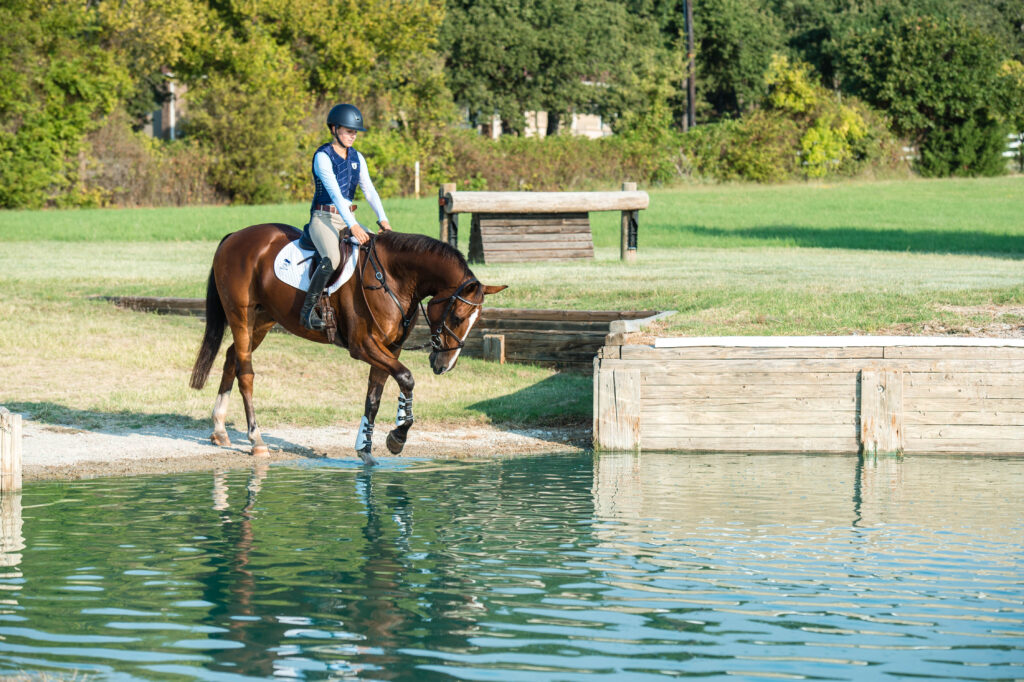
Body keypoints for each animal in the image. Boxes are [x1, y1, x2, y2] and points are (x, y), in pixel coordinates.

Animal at [188, 223, 507, 466]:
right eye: (458, 316)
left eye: (475, 320)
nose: (444, 365)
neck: (393, 277)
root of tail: (235, 236)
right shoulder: (363, 345)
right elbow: (406, 378)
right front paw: (398, 436)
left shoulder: (389, 349)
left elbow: (374, 396)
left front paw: (366, 448)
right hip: (241, 316)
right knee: (246, 373)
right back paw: (256, 440)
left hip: (263, 320)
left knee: (232, 357)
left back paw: (219, 429)